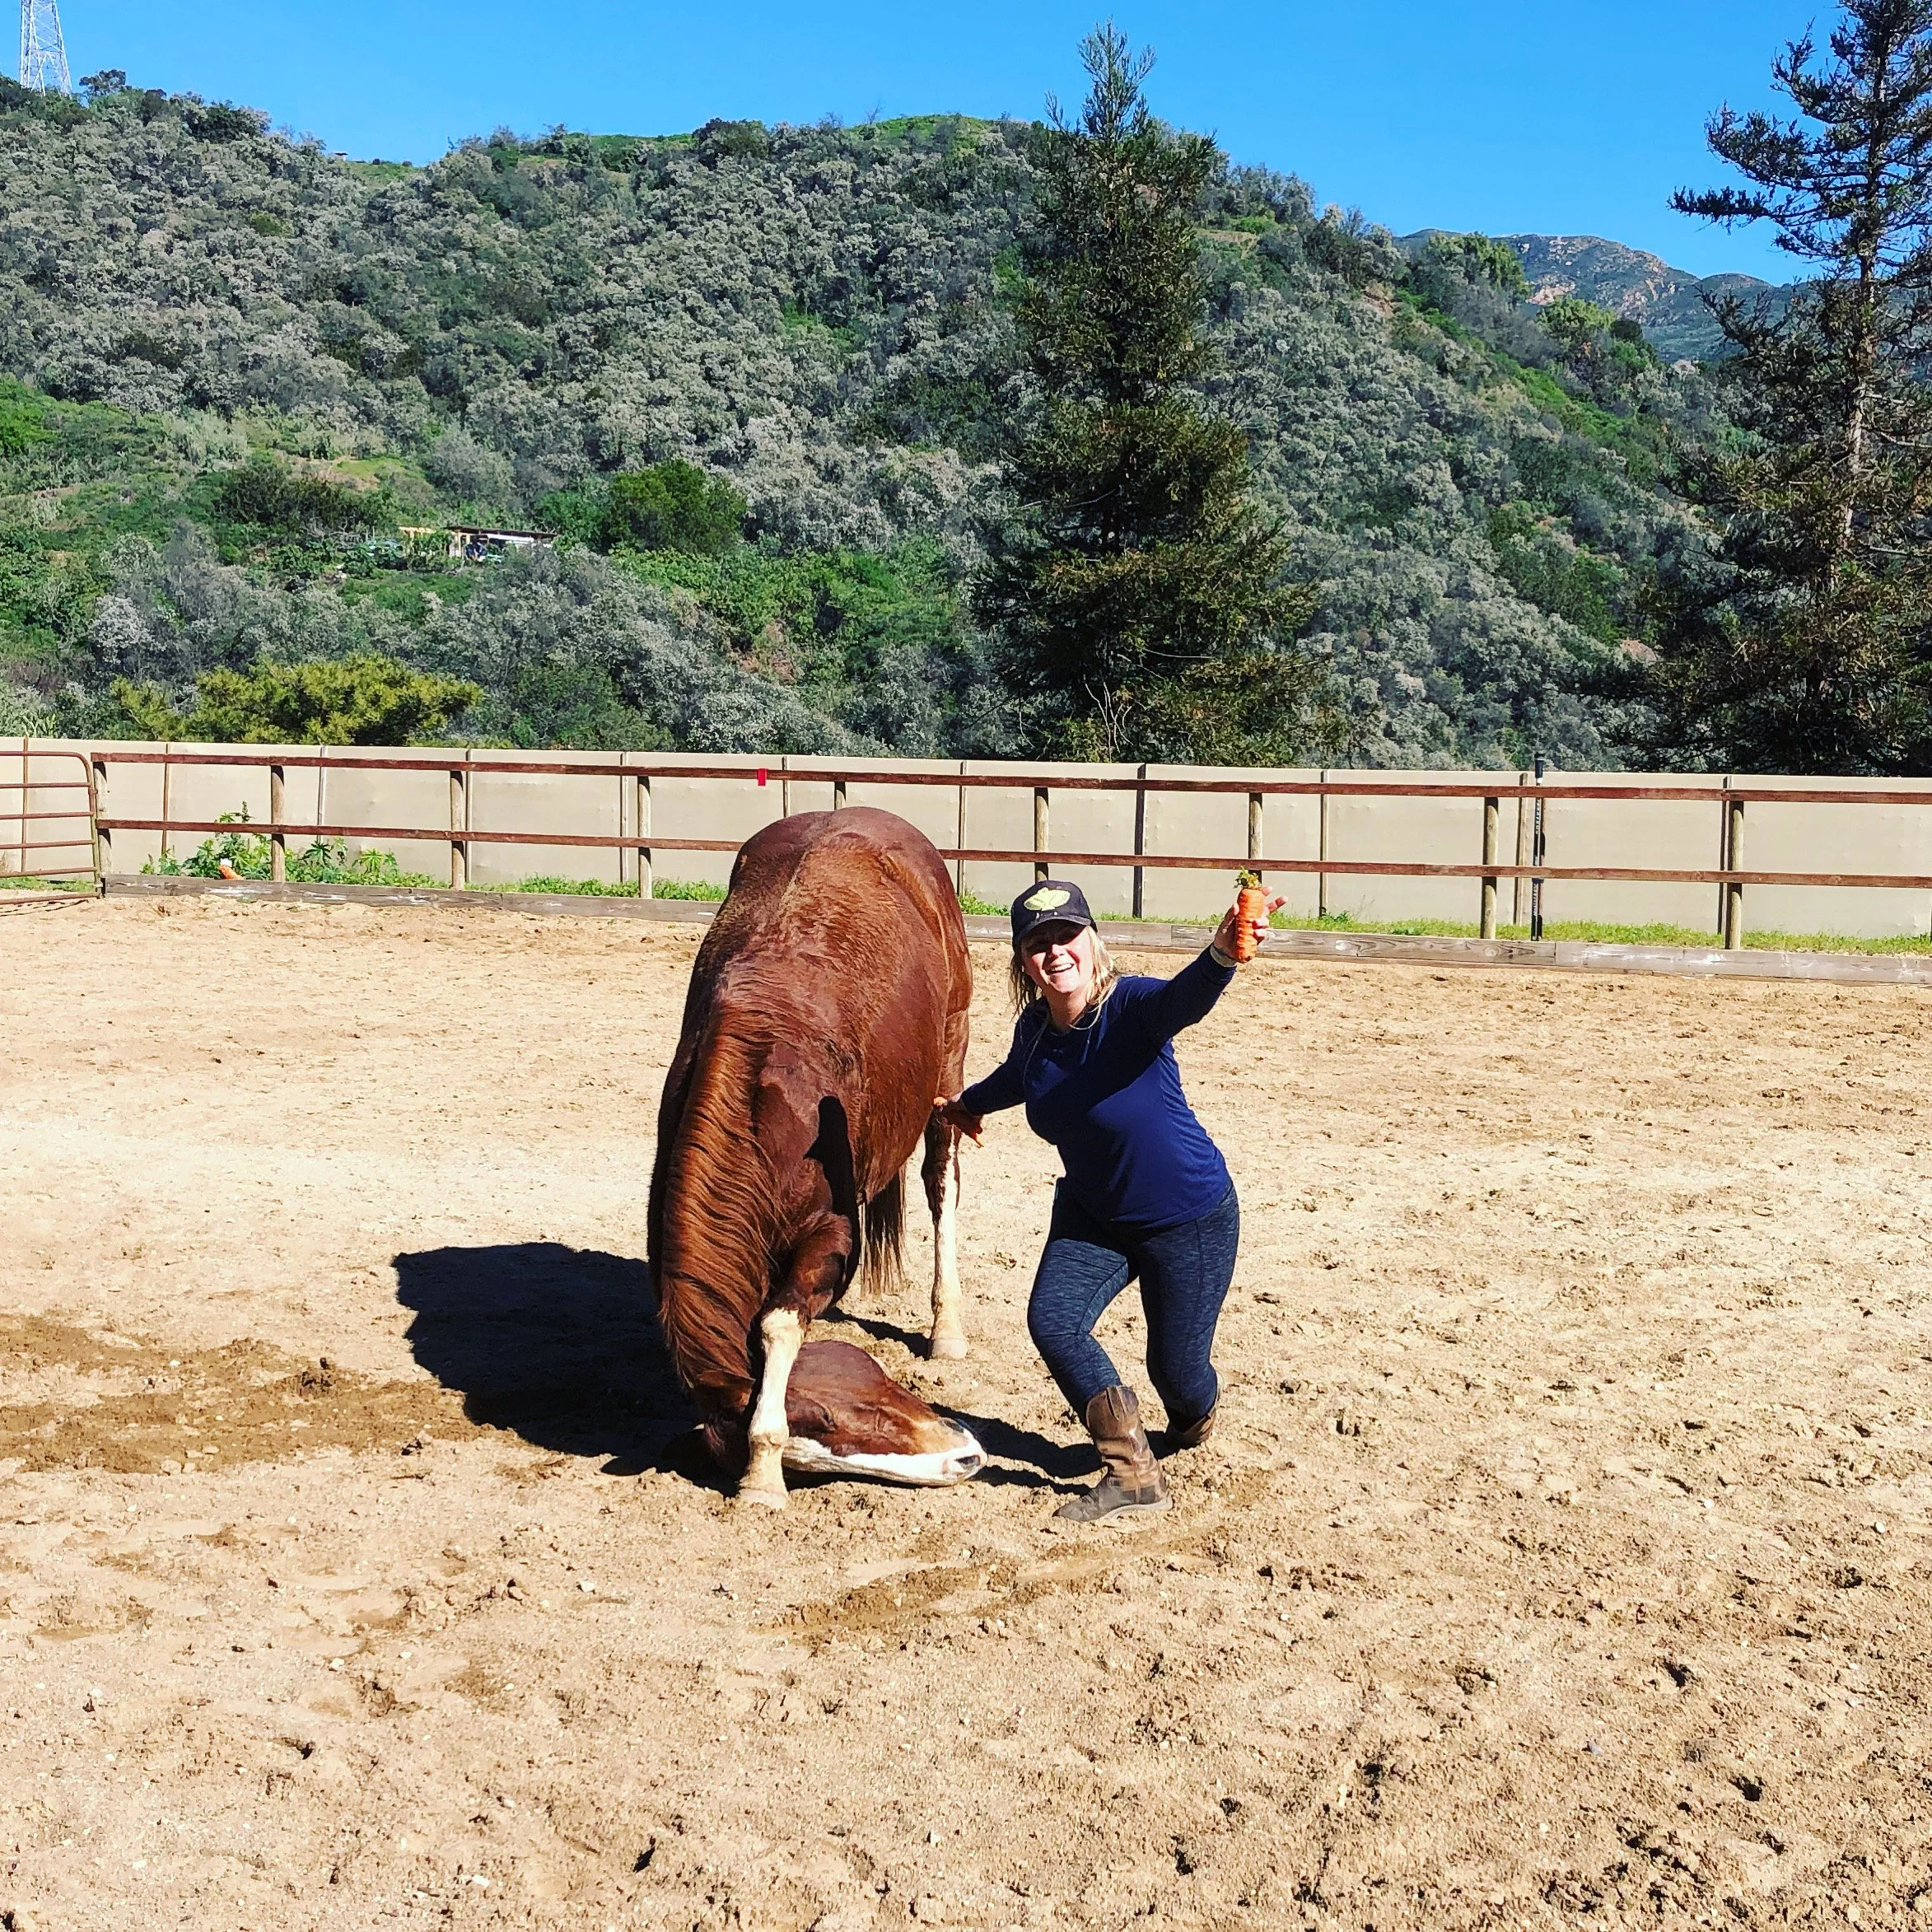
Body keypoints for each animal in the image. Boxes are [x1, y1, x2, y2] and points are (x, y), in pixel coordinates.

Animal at [646, 805, 982, 1507]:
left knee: (942, 1181)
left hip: (950, 1061)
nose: (965, 1453)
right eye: (828, 1418)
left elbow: (777, 1325)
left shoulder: (830, 1234)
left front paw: (762, 1476)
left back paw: (947, 1329)